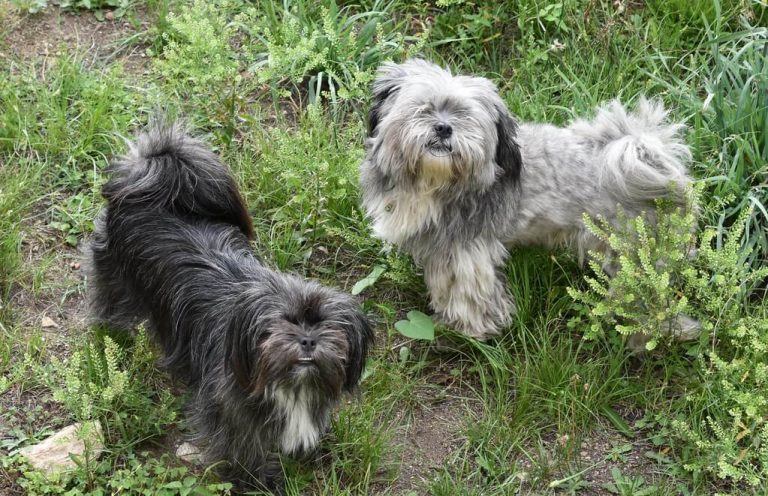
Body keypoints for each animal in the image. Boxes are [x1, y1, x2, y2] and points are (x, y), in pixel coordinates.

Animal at [360, 60, 696, 342]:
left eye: (465, 116)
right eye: (423, 108)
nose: (443, 128)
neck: (434, 184)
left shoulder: (467, 251)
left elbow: (469, 296)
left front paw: (473, 330)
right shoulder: (441, 249)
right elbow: (444, 285)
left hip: (633, 256)